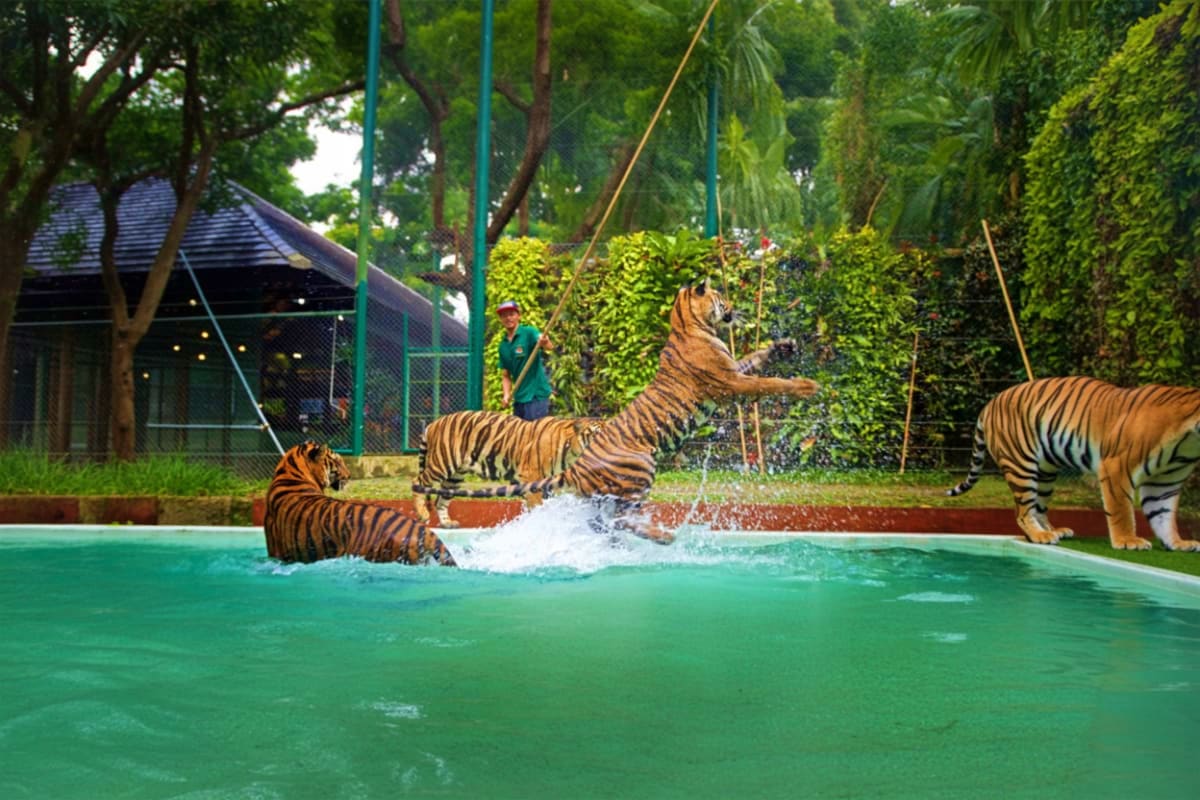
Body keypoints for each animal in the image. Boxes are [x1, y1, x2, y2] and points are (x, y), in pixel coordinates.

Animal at [411, 411, 606, 528]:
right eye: (596, 435)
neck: (571, 452)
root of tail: (433, 423)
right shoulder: (530, 476)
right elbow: (537, 504)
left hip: (455, 476)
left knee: (440, 499)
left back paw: (447, 523)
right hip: (441, 463)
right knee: (418, 482)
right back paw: (422, 514)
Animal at [946, 376, 1200, 551]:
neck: (1186, 445)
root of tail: (989, 403)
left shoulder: (1165, 483)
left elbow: (1164, 515)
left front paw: (1177, 543)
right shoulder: (1116, 467)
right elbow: (1121, 510)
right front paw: (1128, 540)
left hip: (1045, 471)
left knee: (1038, 507)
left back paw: (1053, 531)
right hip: (1021, 465)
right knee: (1023, 510)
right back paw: (1040, 536)